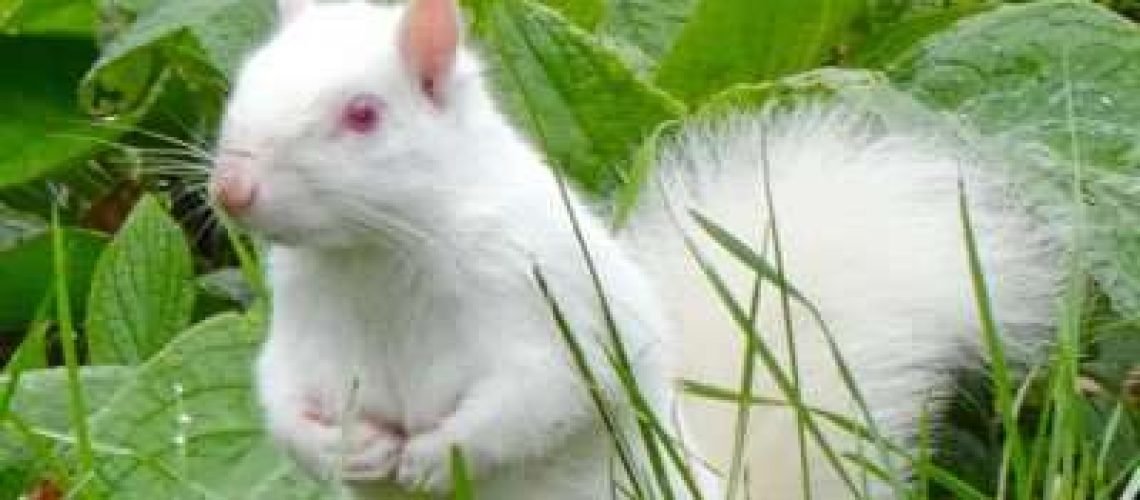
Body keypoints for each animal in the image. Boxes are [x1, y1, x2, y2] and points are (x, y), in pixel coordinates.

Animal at [209, 0, 1061, 498]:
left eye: (363, 115)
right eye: (244, 83)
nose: (230, 190)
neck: (374, 254)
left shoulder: (538, 303)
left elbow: (534, 399)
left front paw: (433, 456)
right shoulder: (306, 329)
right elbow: (279, 395)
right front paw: (338, 448)